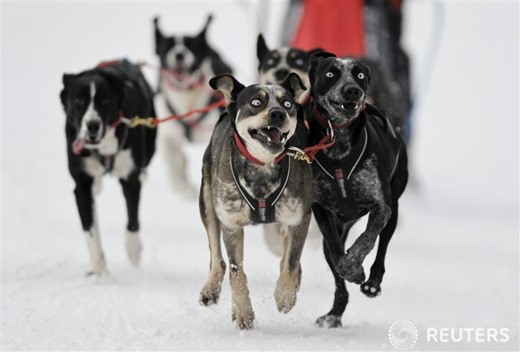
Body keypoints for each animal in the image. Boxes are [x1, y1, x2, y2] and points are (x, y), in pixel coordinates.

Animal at [151, 15, 231, 198]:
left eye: (191, 47)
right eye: (168, 47)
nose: (179, 54)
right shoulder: (167, 135)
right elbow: (173, 165)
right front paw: (184, 189)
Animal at [198, 72, 312, 330]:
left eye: (287, 104)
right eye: (256, 102)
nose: (278, 113)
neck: (262, 166)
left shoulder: (299, 218)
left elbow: (292, 260)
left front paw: (285, 294)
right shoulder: (231, 223)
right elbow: (236, 271)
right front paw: (243, 312)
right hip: (207, 202)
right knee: (217, 257)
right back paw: (211, 288)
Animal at [306, 52, 408, 328]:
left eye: (359, 75)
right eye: (330, 73)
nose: (352, 89)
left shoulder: (381, 207)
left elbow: (367, 239)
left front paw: (355, 263)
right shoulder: (321, 210)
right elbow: (336, 251)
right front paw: (349, 268)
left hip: (394, 211)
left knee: (382, 247)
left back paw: (372, 282)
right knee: (336, 269)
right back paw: (334, 313)